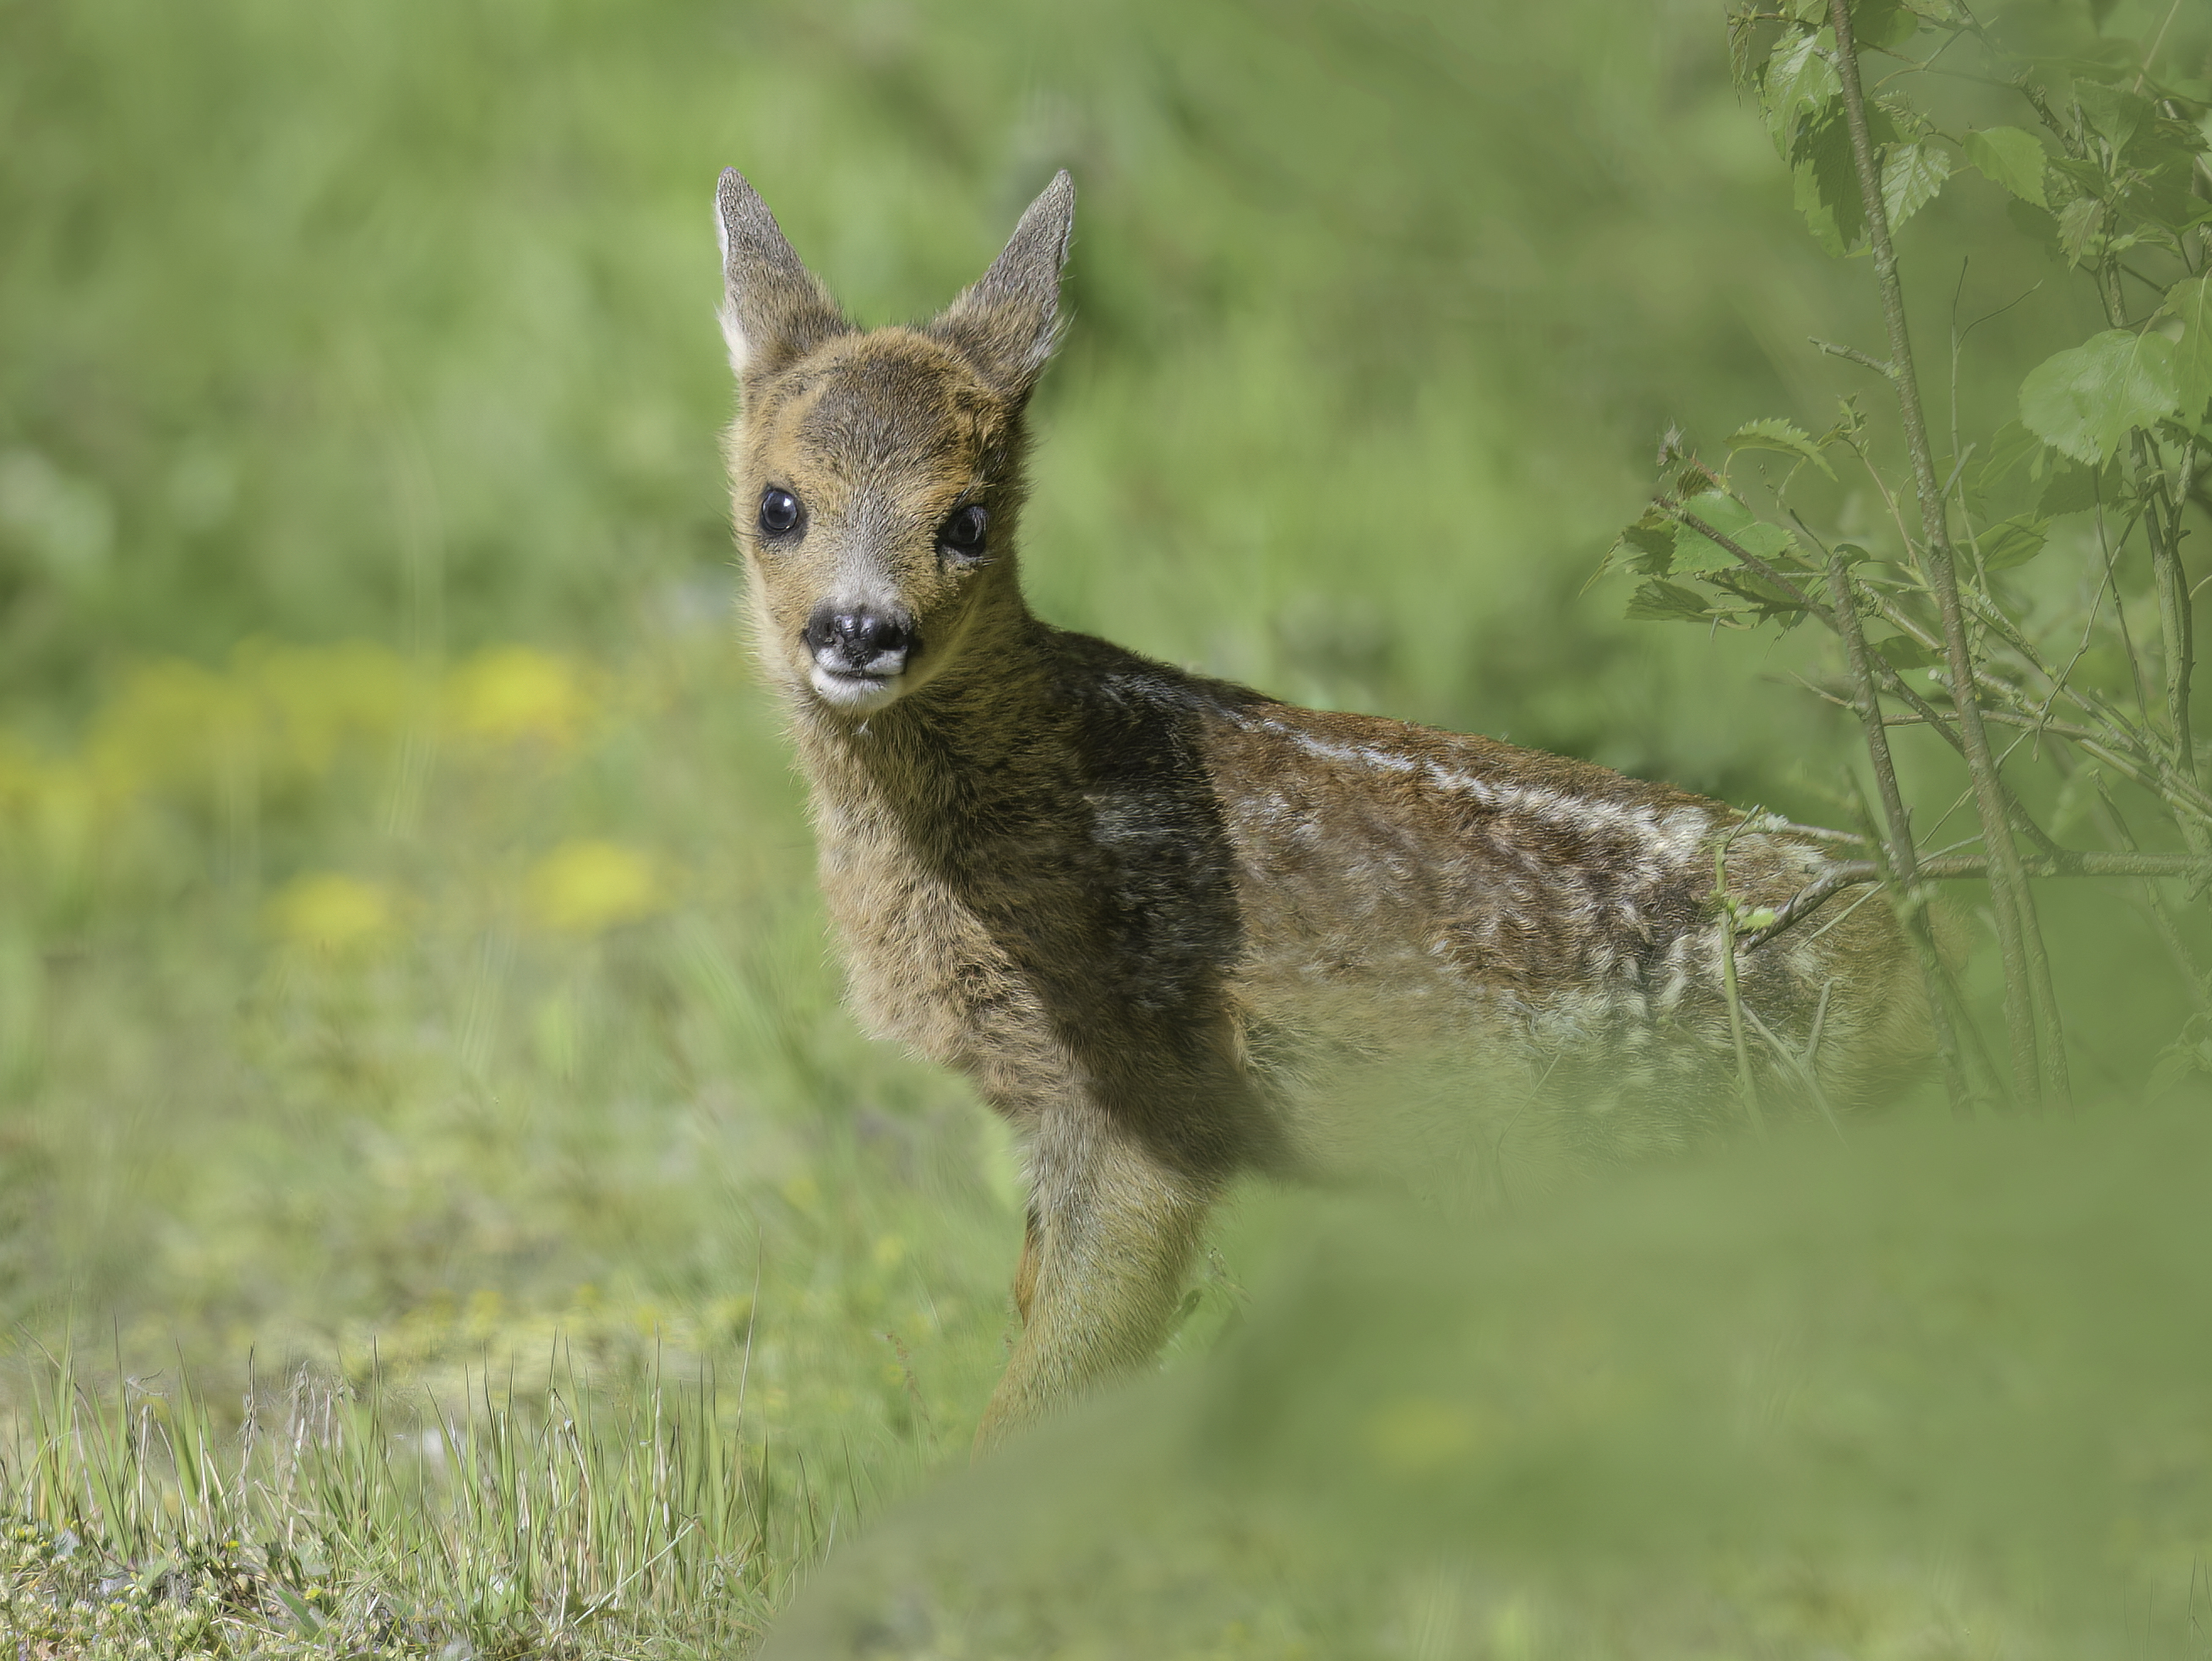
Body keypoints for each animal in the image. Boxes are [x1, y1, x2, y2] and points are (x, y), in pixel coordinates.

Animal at [712, 167, 1931, 1447]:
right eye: (779, 505)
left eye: (968, 519)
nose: (860, 630)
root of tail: (1918, 949)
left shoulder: (1141, 1095)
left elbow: (1048, 1387)